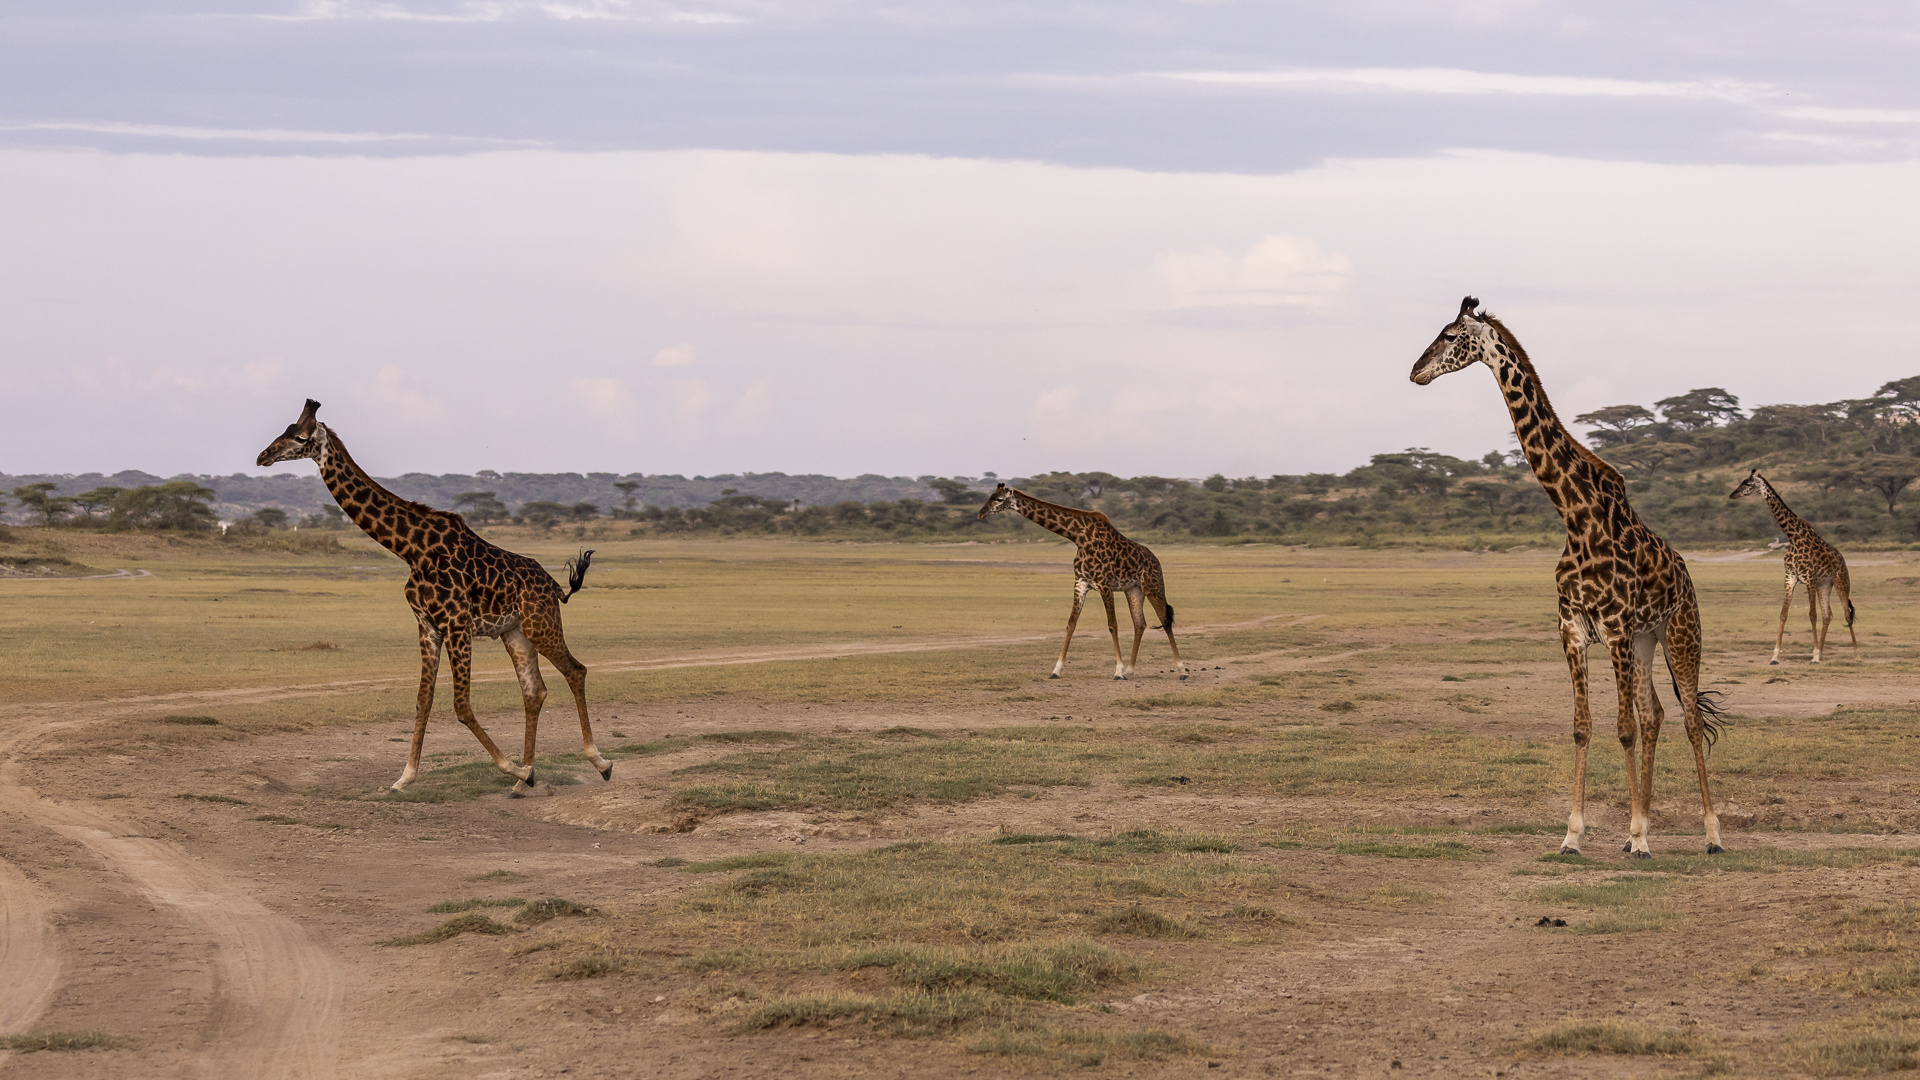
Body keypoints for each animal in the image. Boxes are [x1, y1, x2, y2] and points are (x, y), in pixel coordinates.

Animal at [255, 399, 610, 795]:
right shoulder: (427, 625)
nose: (263, 456)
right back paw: (524, 782)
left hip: (540, 623)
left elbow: (461, 705)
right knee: (534, 691)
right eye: (285, 429)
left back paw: (599, 763)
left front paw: (513, 769)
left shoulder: (456, 623)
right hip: (514, 632)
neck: (413, 550)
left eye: (300, 437)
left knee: (576, 671)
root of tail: (555, 587)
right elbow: (423, 700)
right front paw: (405, 777)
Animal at [975, 484, 1182, 676]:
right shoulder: (1081, 584)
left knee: (1165, 620)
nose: (980, 514)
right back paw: (1130, 670)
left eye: (999, 499)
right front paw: (1056, 670)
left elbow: (1113, 625)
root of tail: (1156, 559)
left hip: (1153, 584)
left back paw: (1181, 670)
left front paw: (1117, 671)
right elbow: (1071, 624)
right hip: (1133, 590)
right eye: (990, 496)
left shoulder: (1104, 585)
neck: (1078, 536)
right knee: (1140, 624)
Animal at [1413, 297, 1728, 853]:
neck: (1575, 517)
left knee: (1689, 719)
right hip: (1646, 641)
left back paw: (1710, 834)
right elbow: (1584, 726)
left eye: (1450, 335)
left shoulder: (1616, 629)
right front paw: (1575, 836)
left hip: (1679, 633)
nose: (1415, 371)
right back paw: (1643, 826)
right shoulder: (1574, 630)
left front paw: (1638, 838)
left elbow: (1622, 728)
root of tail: (1686, 574)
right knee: (1655, 715)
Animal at [1728, 470, 1858, 664]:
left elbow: (1812, 615)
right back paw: (1822, 651)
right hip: (1824, 585)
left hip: (1841, 581)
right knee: (1828, 615)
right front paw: (1775, 656)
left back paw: (1856, 655)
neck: (1792, 536)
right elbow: (1783, 614)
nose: (1733, 495)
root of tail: (1842, 558)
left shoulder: (1809, 578)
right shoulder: (1790, 577)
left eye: (1748, 484)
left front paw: (1814, 657)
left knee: (1846, 613)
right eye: (1742, 482)